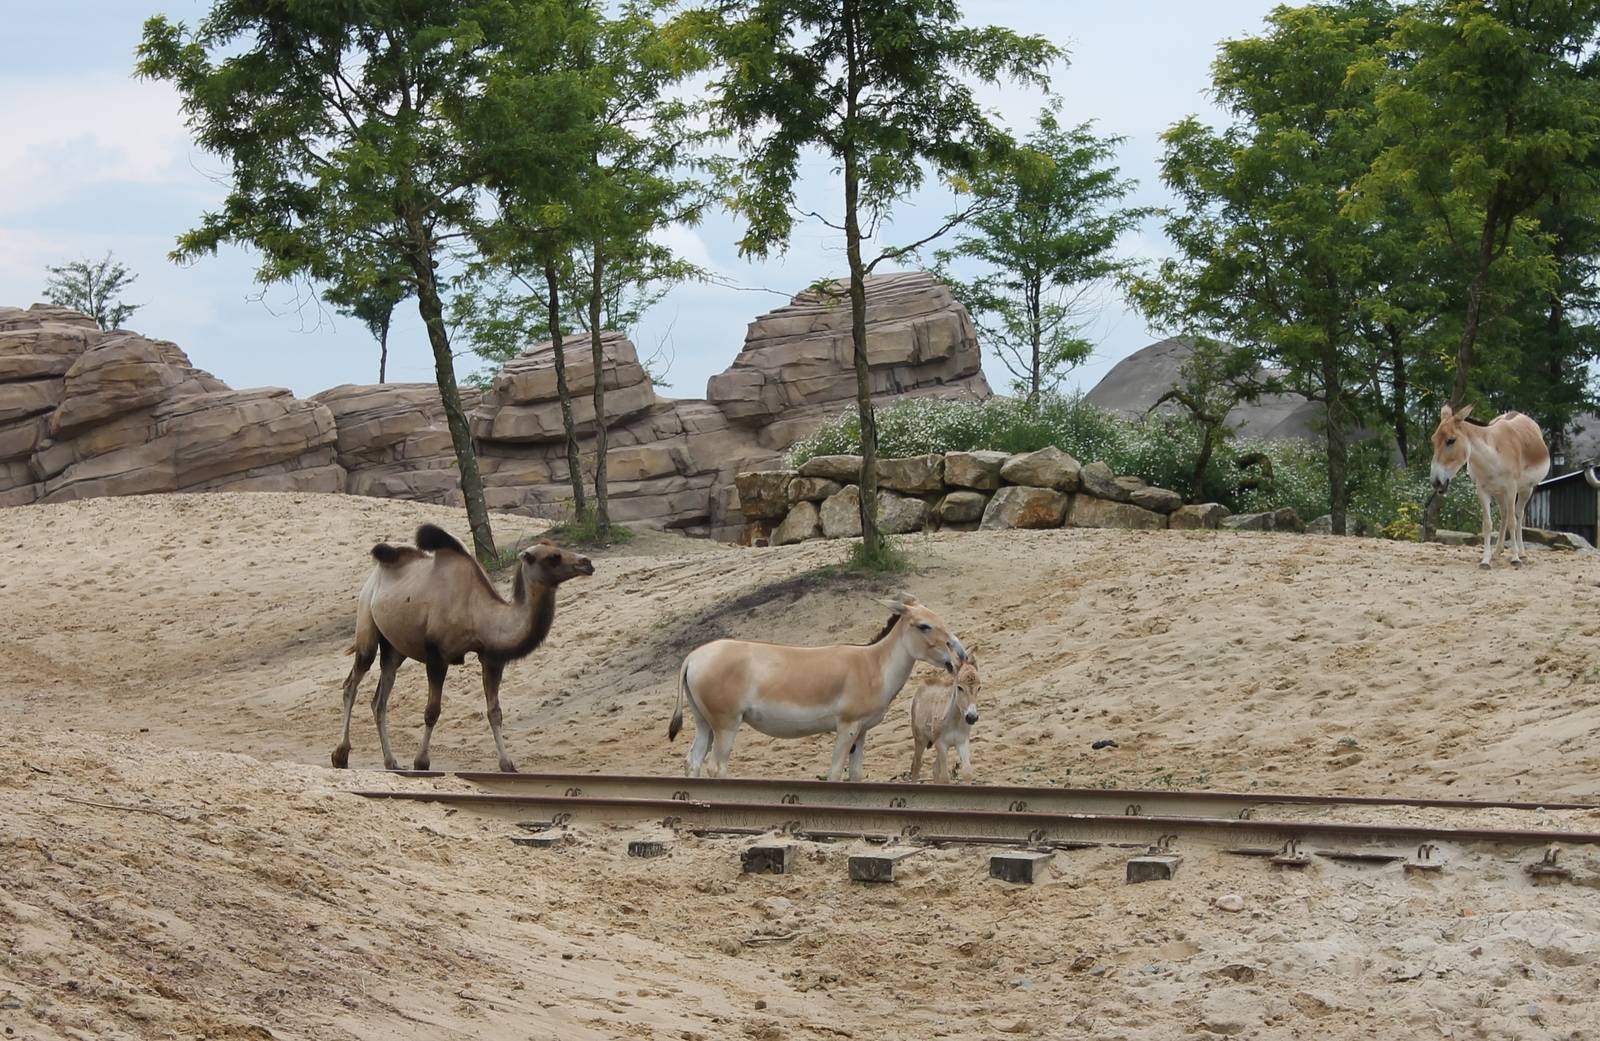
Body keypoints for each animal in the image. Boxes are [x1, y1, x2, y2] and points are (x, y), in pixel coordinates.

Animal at [331, 524, 594, 772]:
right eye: (553, 557)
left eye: (559, 550)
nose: (587, 562)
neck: (478, 614)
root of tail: (375, 574)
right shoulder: (437, 656)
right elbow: (432, 711)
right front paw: (421, 762)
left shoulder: (491, 658)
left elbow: (494, 712)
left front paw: (507, 764)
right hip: (367, 625)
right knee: (351, 683)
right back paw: (340, 755)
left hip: (395, 648)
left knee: (380, 700)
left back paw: (391, 761)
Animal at [667, 593, 966, 781]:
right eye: (924, 626)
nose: (960, 655)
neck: (873, 666)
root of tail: (693, 657)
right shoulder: (847, 727)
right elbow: (834, 773)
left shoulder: (862, 732)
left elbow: (855, 775)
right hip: (726, 723)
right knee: (716, 767)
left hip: (705, 722)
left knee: (692, 762)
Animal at [909, 648, 980, 783]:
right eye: (959, 687)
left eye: (979, 688)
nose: (971, 717)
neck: (954, 721)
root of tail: (925, 683)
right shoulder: (941, 744)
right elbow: (945, 778)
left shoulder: (962, 742)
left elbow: (967, 773)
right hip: (920, 739)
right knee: (916, 765)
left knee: (934, 768)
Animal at [1429, 405, 1551, 568]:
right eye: (1433, 440)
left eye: (1450, 441)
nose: (1436, 482)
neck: (1492, 457)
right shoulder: (1482, 490)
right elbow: (1487, 524)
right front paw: (1485, 560)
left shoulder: (1511, 488)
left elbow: (1512, 522)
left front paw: (1515, 558)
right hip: (1499, 492)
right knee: (1504, 514)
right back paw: (1498, 551)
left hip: (1526, 489)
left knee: (1518, 515)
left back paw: (1522, 554)